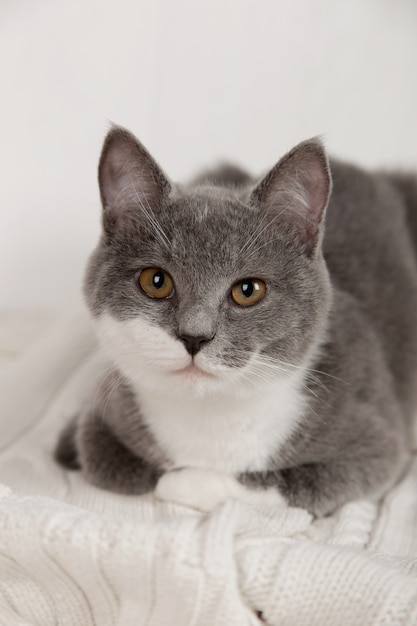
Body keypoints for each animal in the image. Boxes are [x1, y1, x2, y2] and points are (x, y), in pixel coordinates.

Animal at [54, 124, 416, 516]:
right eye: (156, 281)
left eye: (248, 290)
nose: (194, 336)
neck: (209, 414)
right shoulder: (106, 412)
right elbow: (104, 457)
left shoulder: (375, 442)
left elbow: (291, 483)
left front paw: (187, 481)